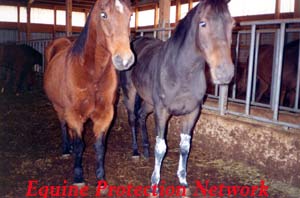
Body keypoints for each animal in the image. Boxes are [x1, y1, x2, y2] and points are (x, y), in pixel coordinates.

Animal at [44, 0, 133, 188]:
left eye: (130, 16)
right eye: (103, 15)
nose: (125, 60)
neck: (91, 74)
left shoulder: (105, 115)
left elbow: (99, 146)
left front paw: (101, 179)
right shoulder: (74, 114)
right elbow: (79, 145)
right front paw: (78, 178)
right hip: (59, 107)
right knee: (63, 125)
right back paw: (66, 149)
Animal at [119, 0, 234, 195]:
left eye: (232, 24)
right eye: (203, 23)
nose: (225, 73)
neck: (181, 72)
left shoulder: (192, 113)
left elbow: (185, 147)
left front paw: (183, 181)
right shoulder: (162, 111)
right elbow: (161, 147)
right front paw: (154, 184)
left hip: (149, 103)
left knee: (141, 116)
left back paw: (145, 150)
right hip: (130, 93)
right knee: (133, 118)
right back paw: (135, 151)